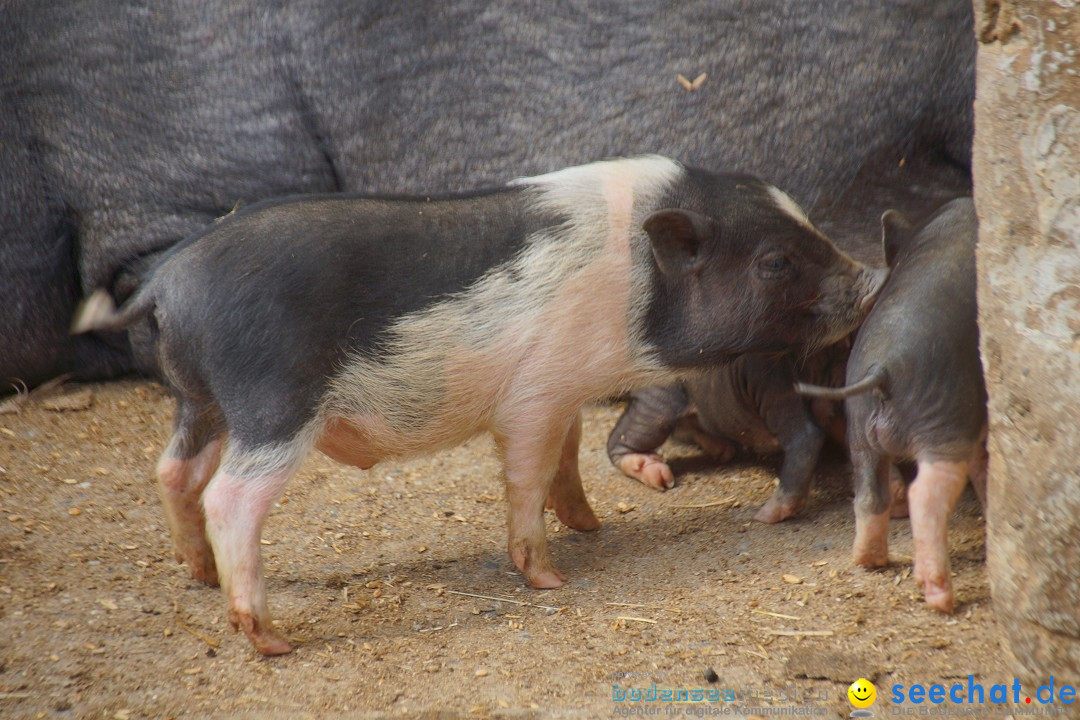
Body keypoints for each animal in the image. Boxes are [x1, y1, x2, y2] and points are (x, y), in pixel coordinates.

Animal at [794, 198, 989, 613]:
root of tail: (884, 367)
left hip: (860, 426)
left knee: (869, 493)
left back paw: (869, 560)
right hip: (944, 422)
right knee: (925, 494)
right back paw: (940, 596)